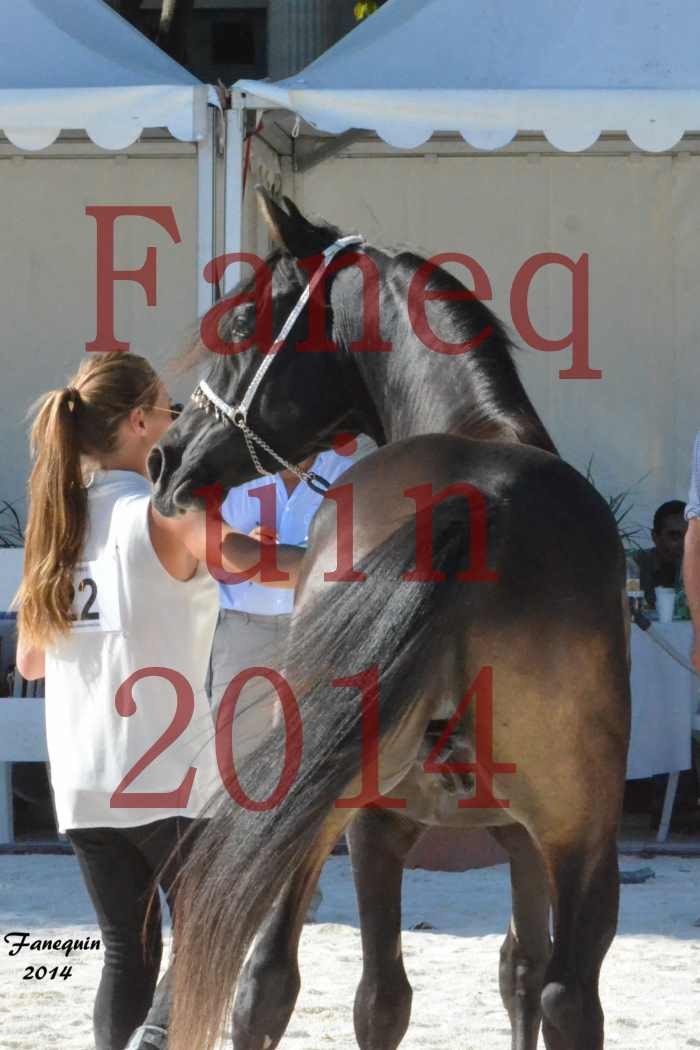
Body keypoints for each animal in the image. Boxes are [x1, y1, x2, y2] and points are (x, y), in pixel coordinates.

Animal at [151, 191, 633, 1050]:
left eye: (240, 324)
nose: (169, 457)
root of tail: (482, 501)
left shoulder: (444, 830)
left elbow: (472, 978)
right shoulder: (524, 838)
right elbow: (520, 970)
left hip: (358, 818)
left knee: (290, 984)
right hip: (579, 835)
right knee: (566, 997)